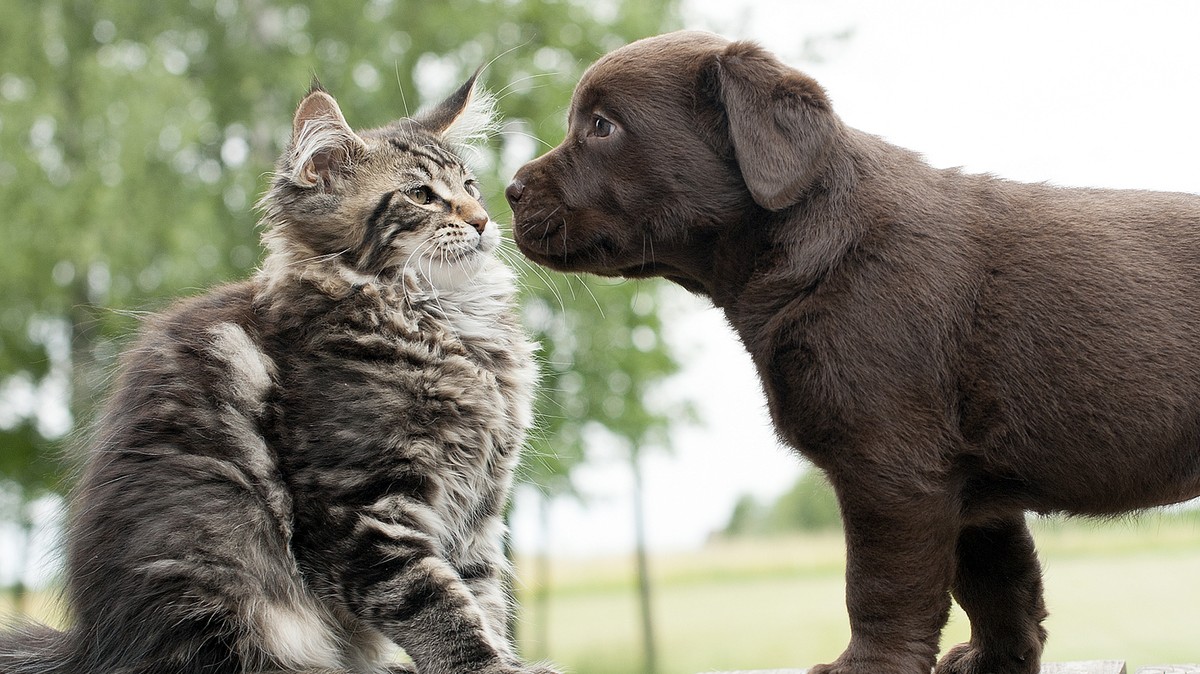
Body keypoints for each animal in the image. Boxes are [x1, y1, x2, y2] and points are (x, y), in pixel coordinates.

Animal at [0, 72, 556, 671]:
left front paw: (511, 658)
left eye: (471, 186)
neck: (448, 322)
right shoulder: (362, 508)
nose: (483, 220)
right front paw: (486, 664)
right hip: (217, 567)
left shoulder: (478, 507)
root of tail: (90, 649)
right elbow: (435, 605)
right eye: (421, 195)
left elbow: (482, 594)